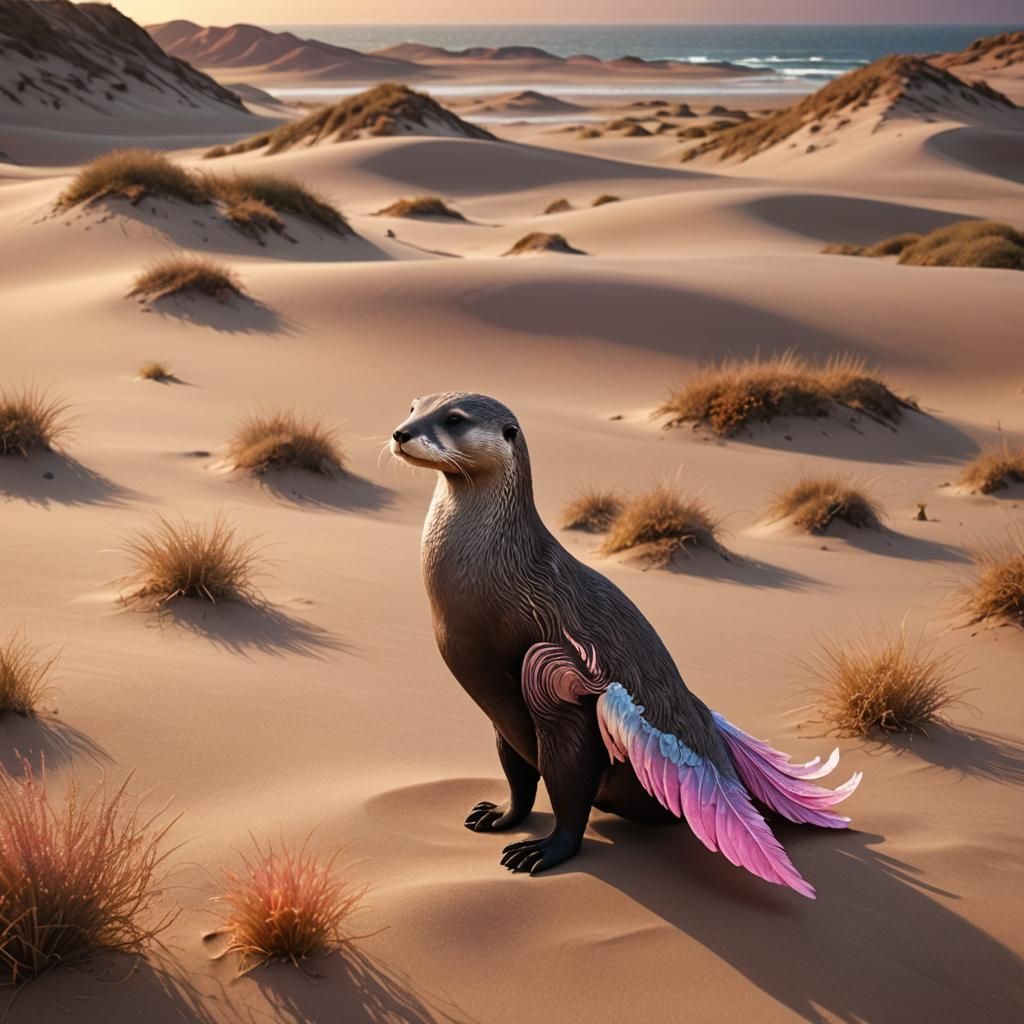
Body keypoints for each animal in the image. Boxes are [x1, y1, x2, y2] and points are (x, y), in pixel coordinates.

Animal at [391, 393, 860, 896]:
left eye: (454, 419)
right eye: (415, 406)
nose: (401, 432)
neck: (504, 571)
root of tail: (714, 751)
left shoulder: (553, 676)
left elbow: (569, 791)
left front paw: (544, 850)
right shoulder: (499, 714)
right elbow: (517, 778)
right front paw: (499, 816)